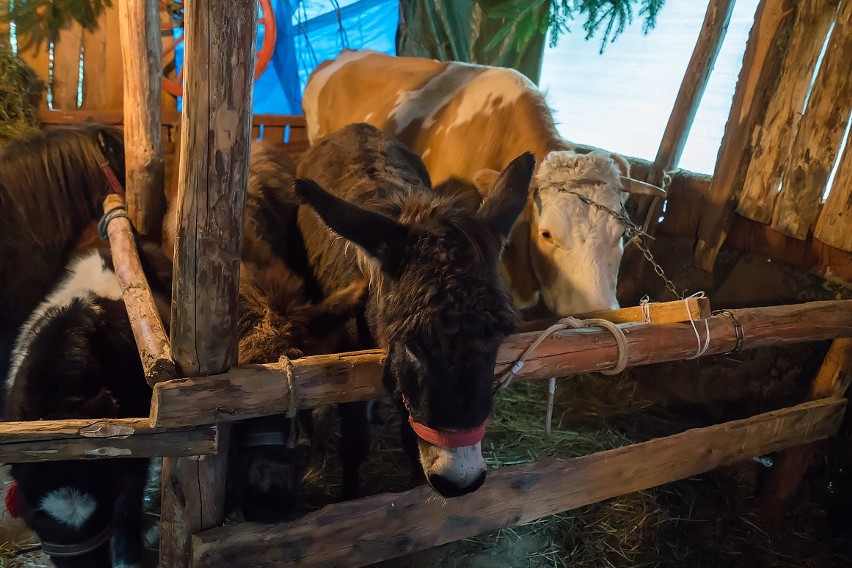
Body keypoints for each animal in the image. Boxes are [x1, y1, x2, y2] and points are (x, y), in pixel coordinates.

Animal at [292, 124, 532, 496]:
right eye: (413, 345)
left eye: (498, 336)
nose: (461, 481)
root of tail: (357, 127)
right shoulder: (346, 372)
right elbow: (355, 442)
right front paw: (349, 496)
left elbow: (410, 439)